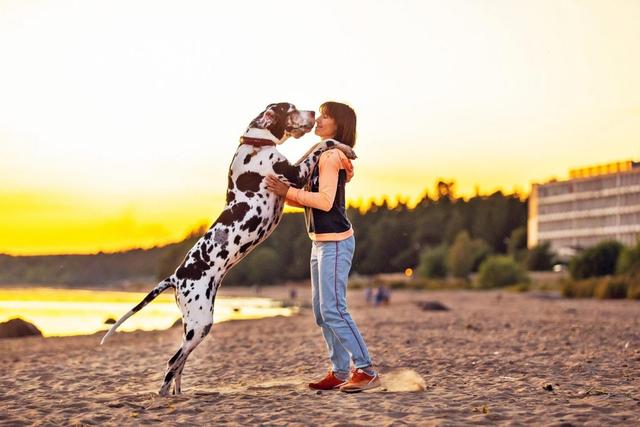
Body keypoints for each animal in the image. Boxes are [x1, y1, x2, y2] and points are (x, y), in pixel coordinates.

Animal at [102, 103, 358, 398]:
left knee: (180, 362)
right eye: (291, 109)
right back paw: (165, 394)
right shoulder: (295, 175)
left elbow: (314, 146)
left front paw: (345, 149)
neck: (255, 144)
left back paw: (179, 393)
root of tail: (176, 276)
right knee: (172, 361)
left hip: (194, 323)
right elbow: (322, 144)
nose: (314, 114)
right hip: (199, 323)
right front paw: (345, 148)